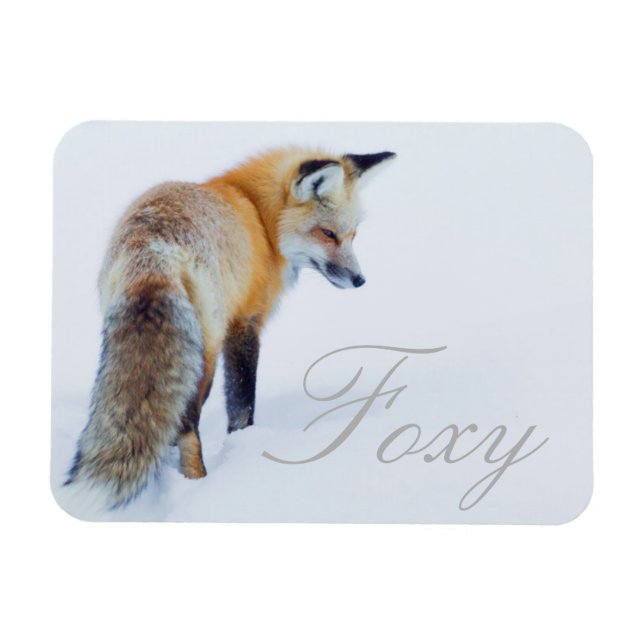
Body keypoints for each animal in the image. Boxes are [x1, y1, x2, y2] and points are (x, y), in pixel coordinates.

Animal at [65, 146, 396, 509]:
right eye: (328, 233)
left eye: (353, 235)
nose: (360, 280)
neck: (259, 217)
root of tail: (152, 249)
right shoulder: (244, 323)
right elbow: (241, 403)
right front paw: (243, 444)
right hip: (205, 352)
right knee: (187, 421)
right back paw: (197, 481)